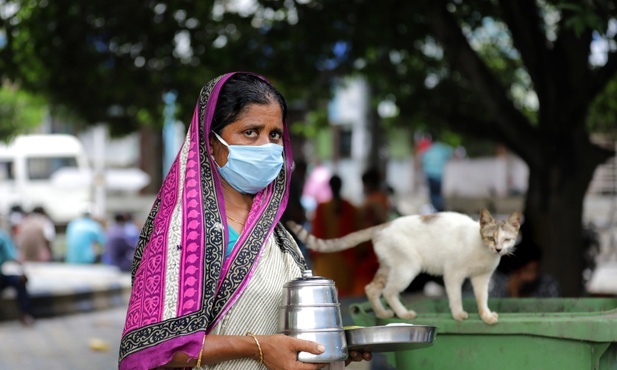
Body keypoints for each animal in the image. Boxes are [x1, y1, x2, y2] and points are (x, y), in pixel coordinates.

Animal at [288, 208, 520, 324]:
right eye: (490, 237)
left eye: (507, 239)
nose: (498, 249)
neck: (483, 252)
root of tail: (383, 225)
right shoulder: (453, 273)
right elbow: (455, 297)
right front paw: (458, 315)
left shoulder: (482, 279)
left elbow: (482, 299)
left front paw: (486, 316)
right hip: (408, 268)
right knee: (389, 292)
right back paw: (403, 314)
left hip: (389, 268)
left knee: (371, 289)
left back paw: (383, 314)